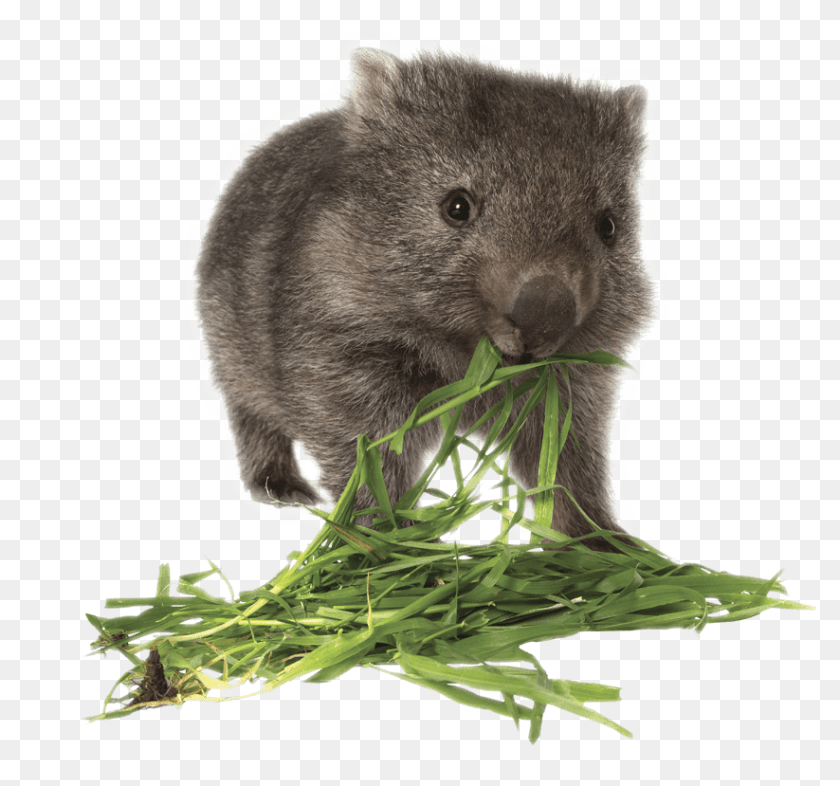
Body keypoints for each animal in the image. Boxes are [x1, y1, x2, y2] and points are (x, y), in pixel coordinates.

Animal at [195, 49, 654, 551]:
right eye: (456, 207)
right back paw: (279, 486)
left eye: (607, 227)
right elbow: (363, 444)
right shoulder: (341, 342)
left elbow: (566, 450)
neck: (471, 352)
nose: (545, 315)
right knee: (249, 407)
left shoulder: (577, 374)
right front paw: (390, 540)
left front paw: (601, 541)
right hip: (229, 327)